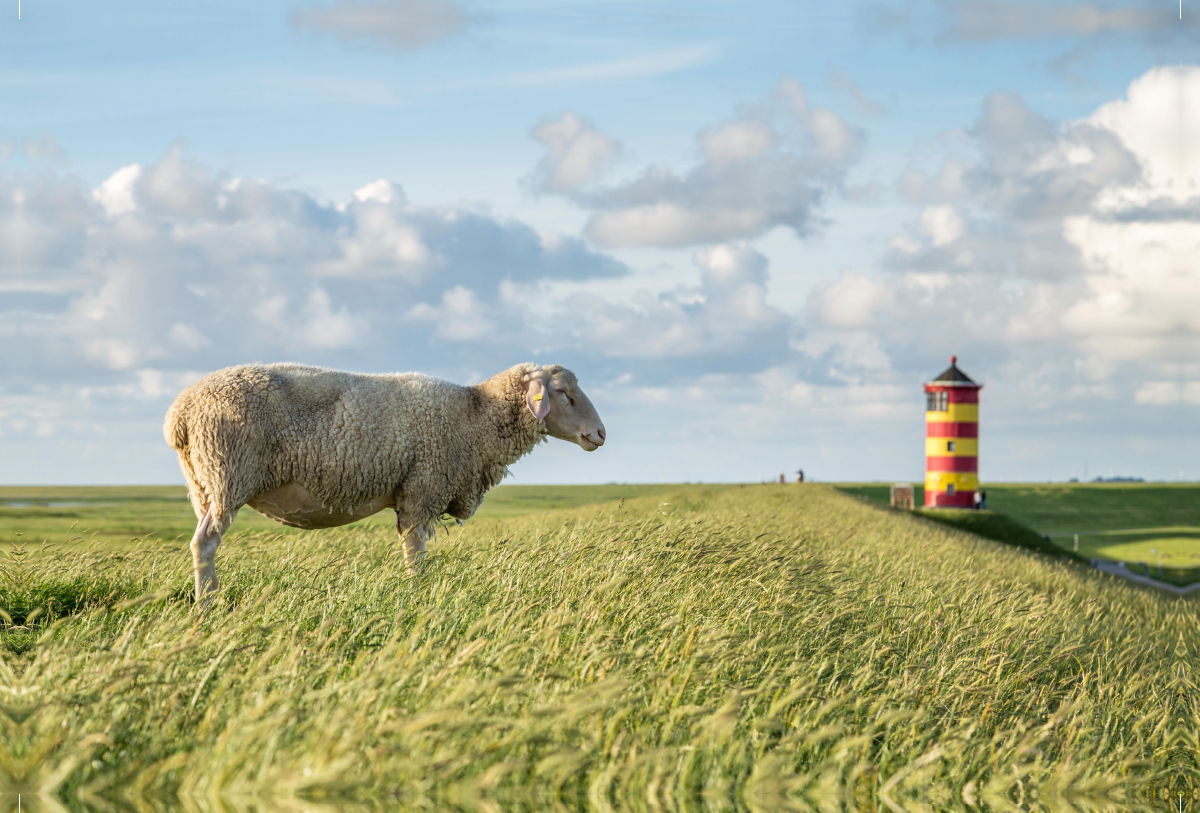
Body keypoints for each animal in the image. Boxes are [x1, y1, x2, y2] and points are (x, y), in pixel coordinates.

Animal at [164, 362, 604, 604]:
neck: (475, 414)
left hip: (204, 485)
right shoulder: (422, 489)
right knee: (204, 544)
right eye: (561, 392)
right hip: (228, 474)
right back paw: (208, 606)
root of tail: (179, 414)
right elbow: (415, 551)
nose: (600, 434)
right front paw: (417, 594)